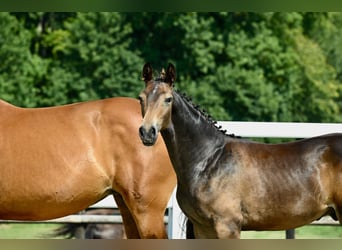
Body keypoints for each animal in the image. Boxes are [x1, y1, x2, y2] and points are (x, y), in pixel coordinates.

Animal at [138, 62, 342, 238]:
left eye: (168, 99)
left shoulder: (227, 226)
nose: (147, 132)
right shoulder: (203, 228)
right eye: (141, 98)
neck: (208, 160)